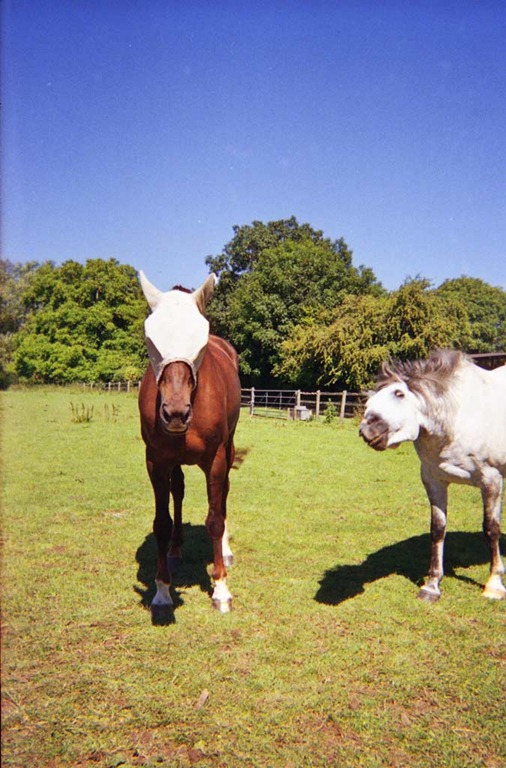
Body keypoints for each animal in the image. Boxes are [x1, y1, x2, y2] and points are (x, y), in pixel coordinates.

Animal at [138, 271, 241, 619]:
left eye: (201, 341)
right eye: (150, 340)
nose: (175, 413)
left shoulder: (216, 460)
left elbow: (214, 519)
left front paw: (221, 589)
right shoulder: (156, 462)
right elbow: (161, 522)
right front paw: (162, 591)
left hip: (229, 449)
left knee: (223, 495)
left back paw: (226, 551)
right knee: (179, 491)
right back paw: (176, 548)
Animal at [359, 349, 506, 602]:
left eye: (399, 393)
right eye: (369, 401)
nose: (366, 430)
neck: (456, 417)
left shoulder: (492, 481)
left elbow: (491, 529)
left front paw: (494, 584)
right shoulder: (434, 480)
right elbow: (437, 529)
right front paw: (432, 586)